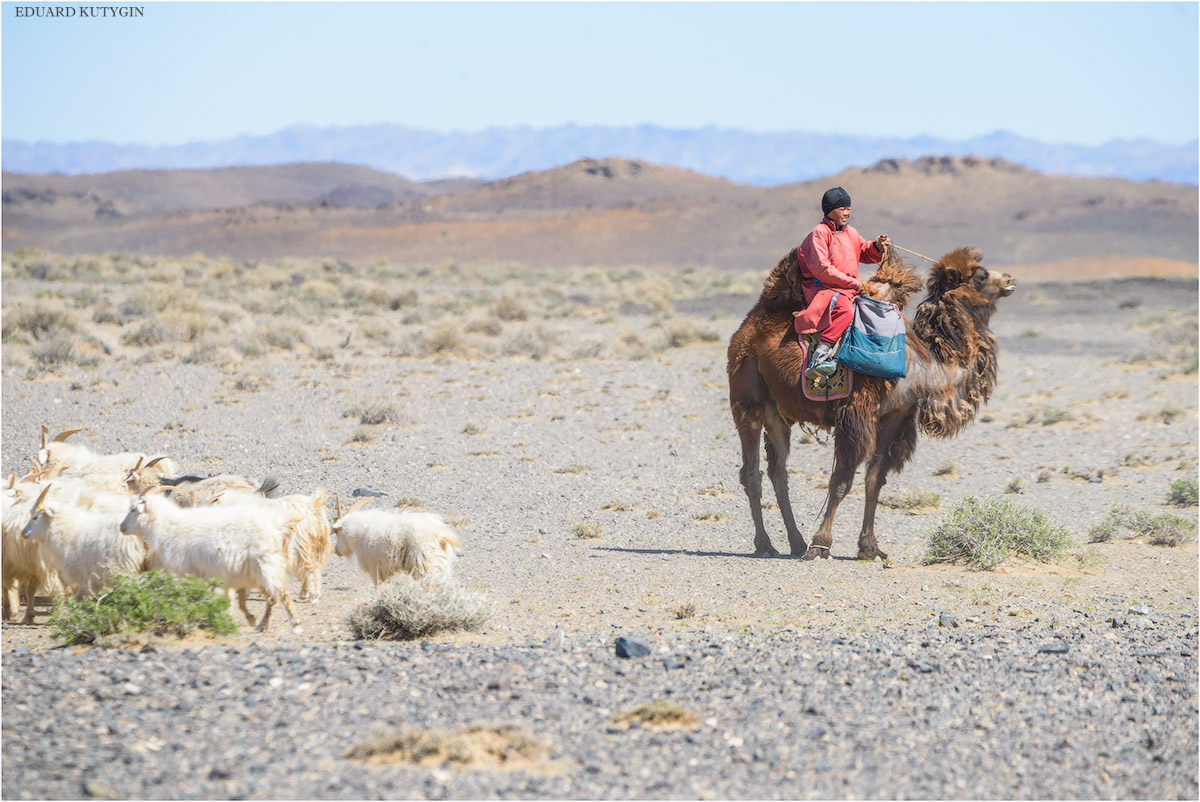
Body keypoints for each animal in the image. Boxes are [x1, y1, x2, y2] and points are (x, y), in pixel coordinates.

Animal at [118, 489, 302, 633]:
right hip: (263, 570)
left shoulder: (186, 572)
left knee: (279, 596)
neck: (168, 527)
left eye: (133, 509)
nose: (122, 527)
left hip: (266, 565)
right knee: (273, 597)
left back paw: (293, 625)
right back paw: (265, 624)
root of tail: (279, 526)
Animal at [724, 247, 1017, 561]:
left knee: (778, 471)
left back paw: (795, 542)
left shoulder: (892, 417)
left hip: (777, 412)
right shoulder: (856, 415)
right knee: (751, 472)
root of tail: (750, 325)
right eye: (981, 276)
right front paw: (821, 544)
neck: (922, 363)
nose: (1010, 280)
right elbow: (841, 481)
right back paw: (765, 544)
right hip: (748, 398)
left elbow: (874, 481)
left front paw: (869, 547)